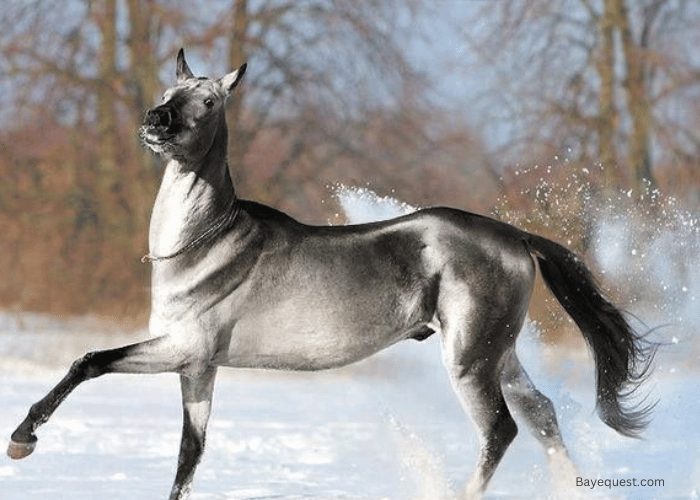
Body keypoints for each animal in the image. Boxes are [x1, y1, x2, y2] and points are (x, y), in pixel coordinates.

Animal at [7, 49, 655, 500]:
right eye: (169, 90)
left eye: (209, 102)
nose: (156, 119)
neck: (203, 245)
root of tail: (514, 237)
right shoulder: (198, 367)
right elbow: (189, 456)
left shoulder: (183, 347)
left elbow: (89, 362)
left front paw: (22, 439)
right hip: (500, 353)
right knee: (541, 415)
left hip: (470, 359)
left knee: (500, 430)